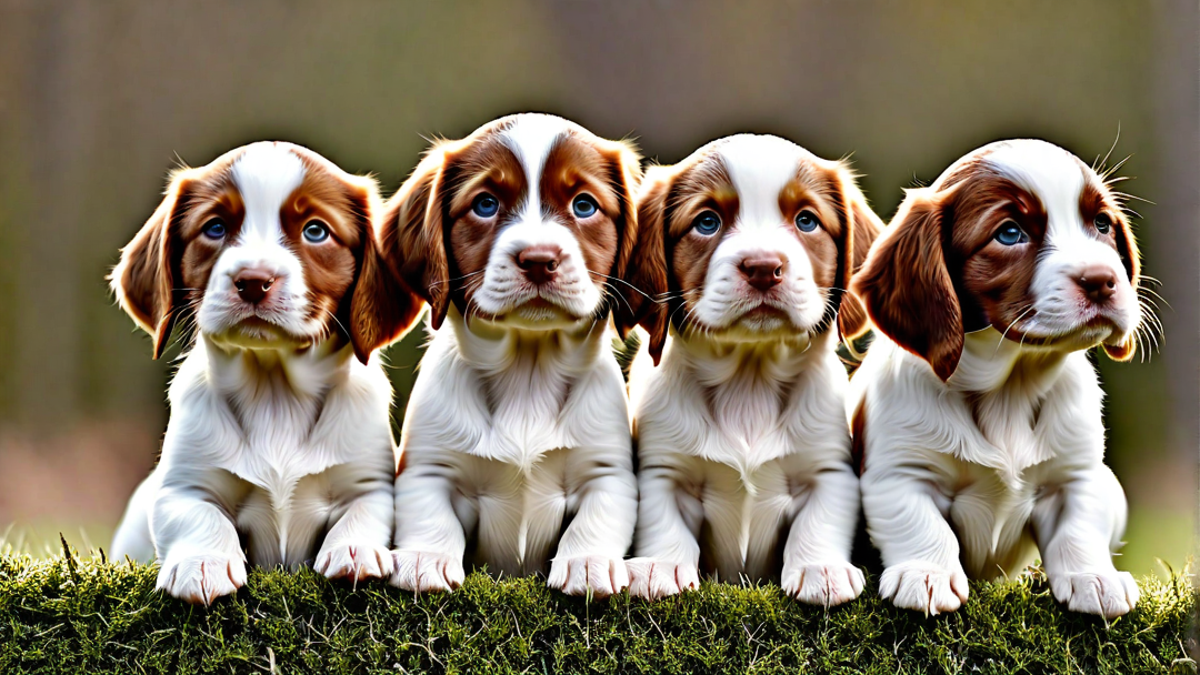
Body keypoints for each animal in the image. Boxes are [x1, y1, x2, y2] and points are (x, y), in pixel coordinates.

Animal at [109, 141, 417, 605]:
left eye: (315, 231)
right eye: (215, 228)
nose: (254, 280)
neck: (274, 392)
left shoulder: (368, 482)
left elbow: (365, 511)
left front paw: (354, 551)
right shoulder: (183, 486)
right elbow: (198, 516)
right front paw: (203, 562)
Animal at [379, 111, 648, 593]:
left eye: (584, 205)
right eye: (485, 204)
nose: (539, 259)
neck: (528, 369)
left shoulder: (606, 471)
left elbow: (597, 519)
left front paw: (588, 564)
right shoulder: (429, 468)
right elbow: (430, 516)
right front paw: (426, 559)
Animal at [619, 133, 883, 600]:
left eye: (807, 220)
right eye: (707, 222)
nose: (763, 268)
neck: (749, 377)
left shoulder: (829, 470)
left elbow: (820, 521)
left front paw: (821, 569)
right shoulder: (662, 470)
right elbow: (663, 521)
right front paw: (659, 567)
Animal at [854, 139, 1142, 619]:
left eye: (1102, 223)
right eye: (1009, 233)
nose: (1103, 281)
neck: (1010, 385)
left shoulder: (1077, 475)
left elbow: (1079, 528)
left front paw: (1093, 578)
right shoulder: (900, 472)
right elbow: (920, 524)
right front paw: (926, 575)